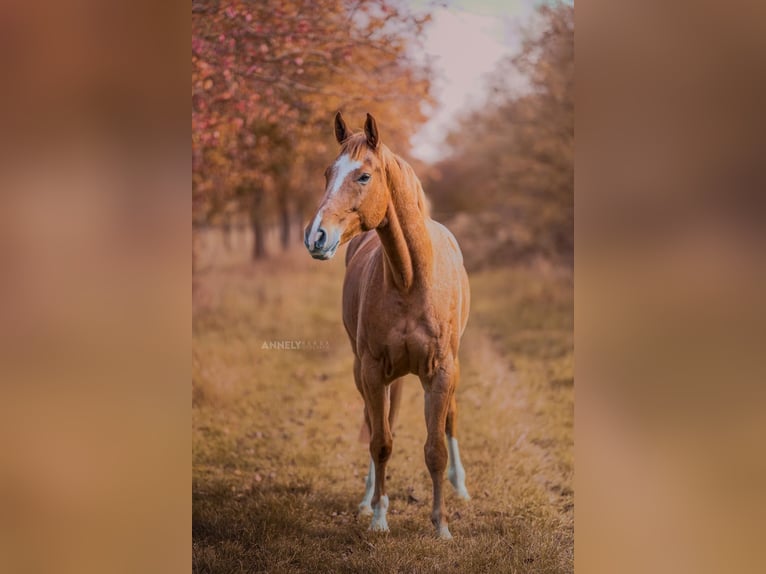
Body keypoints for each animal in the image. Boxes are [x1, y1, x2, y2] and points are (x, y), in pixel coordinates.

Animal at [304, 112, 470, 539]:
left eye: (364, 176)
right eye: (327, 173)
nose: (315, 236)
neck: (410, 277)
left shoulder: (442, 371)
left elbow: (435, 448)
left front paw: (441, 526)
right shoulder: (373, 370)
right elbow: (380, 442)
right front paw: (379, 517)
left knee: (450, 418)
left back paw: (461, 487)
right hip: (369, 373)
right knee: (377, 423)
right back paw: (369, 499)